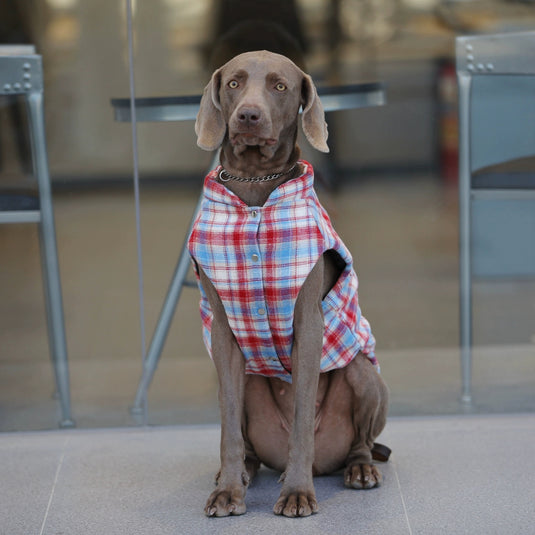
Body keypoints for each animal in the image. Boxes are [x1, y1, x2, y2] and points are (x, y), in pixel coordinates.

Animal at [189, 50, 390, 520]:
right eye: (233, 83)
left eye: (280, 86)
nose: (248, 115)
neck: (255, 185)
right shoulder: (224, 332)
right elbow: (227, 426)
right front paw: (228, 492)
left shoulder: (308, 326)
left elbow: (301, 421)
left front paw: (298, 494)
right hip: (248, 380)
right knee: (246, 445)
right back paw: (242, 474)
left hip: (364, 374)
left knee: (361, 442)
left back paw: (358, 470)